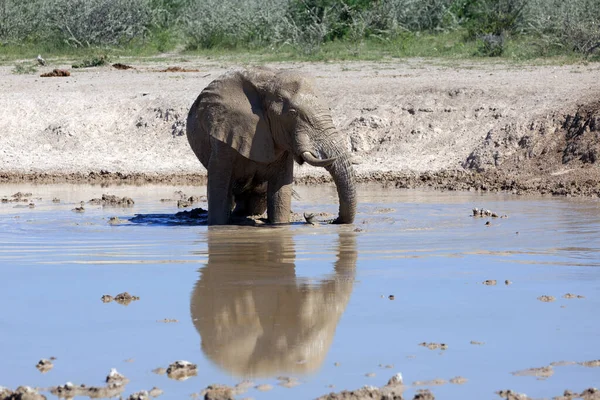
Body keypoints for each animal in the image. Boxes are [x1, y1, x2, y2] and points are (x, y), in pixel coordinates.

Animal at [188, 67, 356, 227]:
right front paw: (218, 226)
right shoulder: (224, 133)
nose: (310, 216)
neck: (268, 82)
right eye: (292, 113)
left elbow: (281, 190)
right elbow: (219, 187)